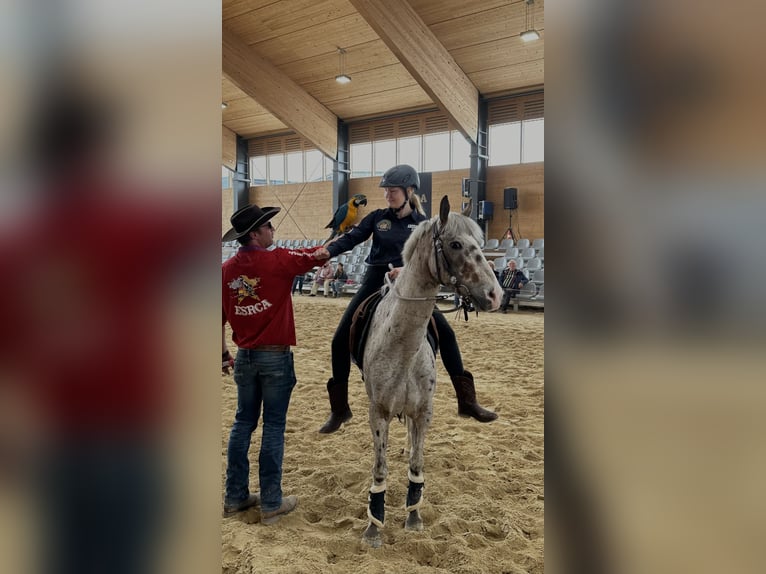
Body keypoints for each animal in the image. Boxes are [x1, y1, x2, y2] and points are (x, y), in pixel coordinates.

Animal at [360, 195, 504, 548]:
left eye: (481, 243)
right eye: (455, 244)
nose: (496, 295)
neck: (403, 348)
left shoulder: (424, 411)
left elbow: (416, 463)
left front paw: (413, 516)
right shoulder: (378, 413)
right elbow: (380, 469)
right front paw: (373, 527)